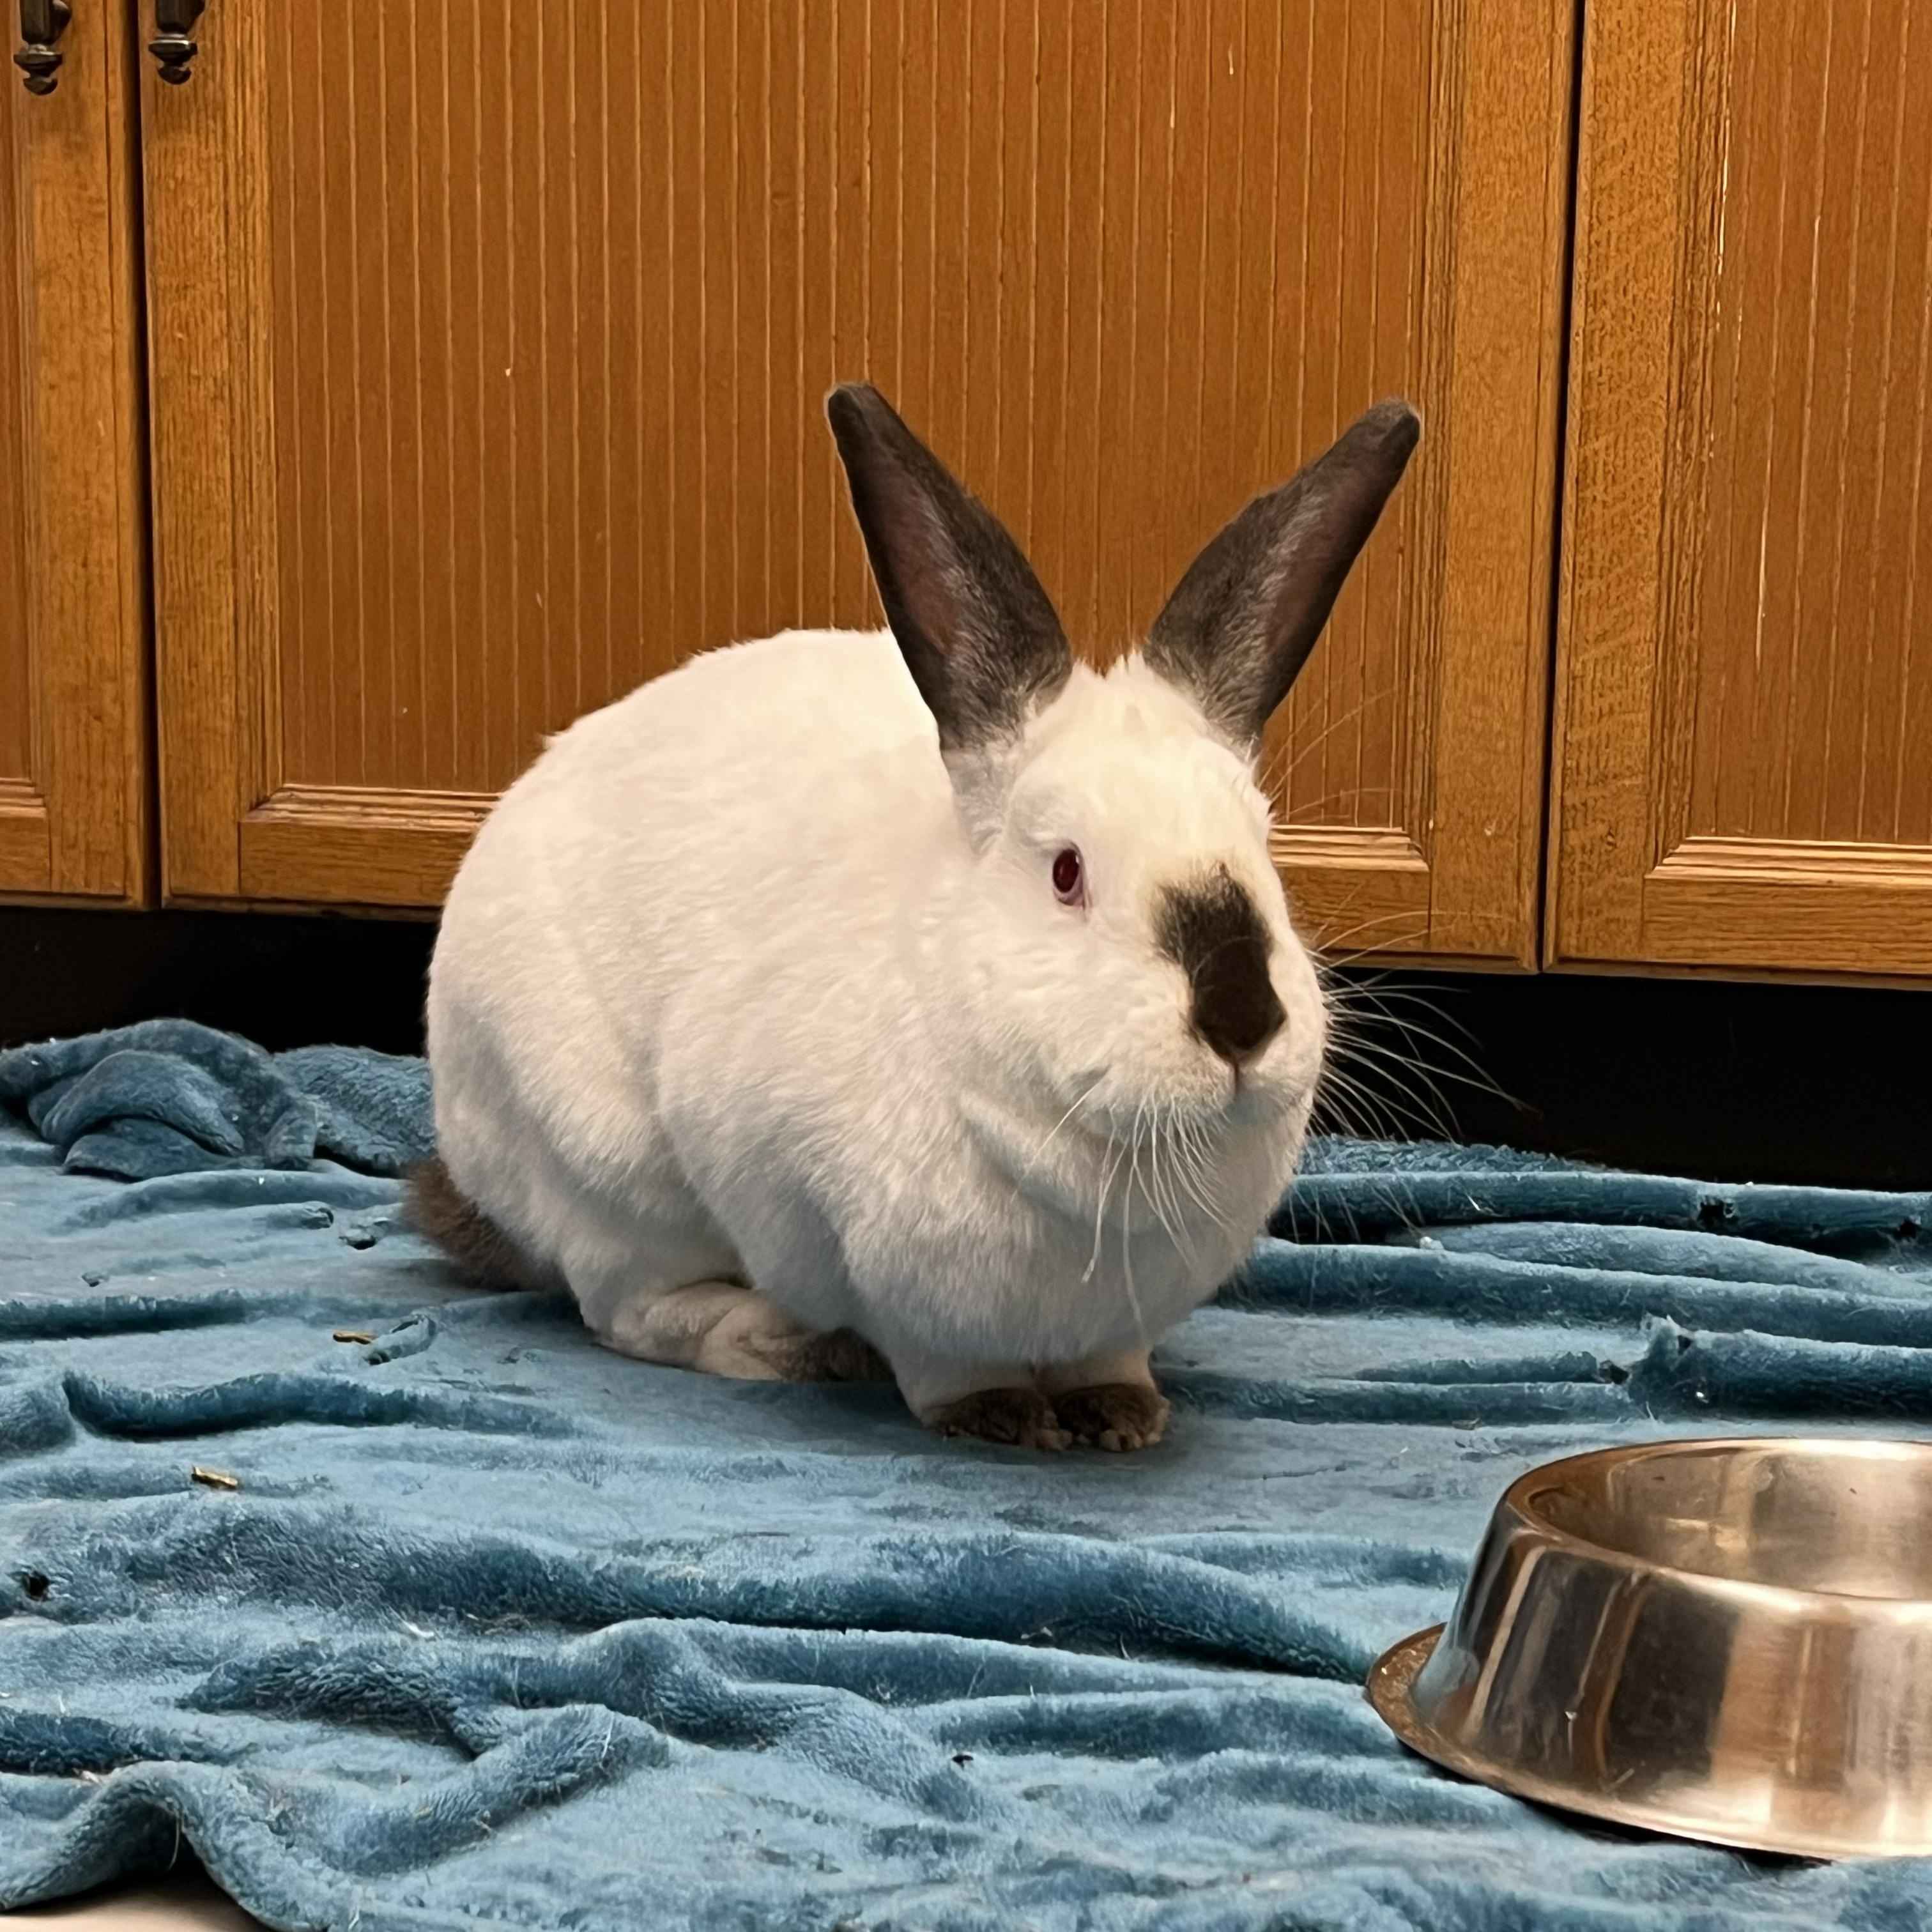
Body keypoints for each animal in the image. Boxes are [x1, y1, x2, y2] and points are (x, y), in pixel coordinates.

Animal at [414, 384, 1418, 1451]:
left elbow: (1112, 1363)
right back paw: (787, 1345)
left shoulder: (1119, 1320)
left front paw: (1122, 1417)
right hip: (607, 1177)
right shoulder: (855, 1258)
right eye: (1067, 871)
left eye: (1265, 849)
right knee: (629, 1311)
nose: (1242, 1019)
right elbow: (934, 1363)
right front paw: (998, 1416)